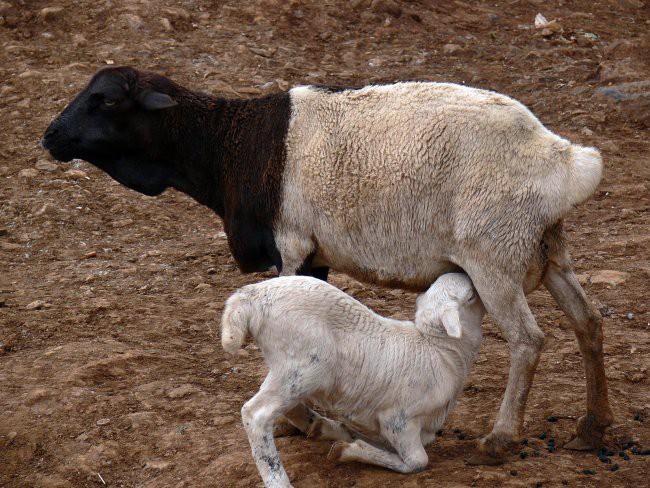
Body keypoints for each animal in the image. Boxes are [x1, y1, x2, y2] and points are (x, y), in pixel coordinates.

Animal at [43, 66, 612, 462]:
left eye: (105, 99)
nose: (49, 137)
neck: (228, 148)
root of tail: (562, 160)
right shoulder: (315, 256)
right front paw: (306, 420)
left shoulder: (291, 244)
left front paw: (298, 421)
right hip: (547, 250)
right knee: (589, 321)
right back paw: (593, 426)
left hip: (493, 255)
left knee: (528, 340)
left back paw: (501, 437)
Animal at [220, 272, 484, 486]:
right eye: (471, 296)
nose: (467, 274)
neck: (440, 351)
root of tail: (251, 295)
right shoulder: (398, 420)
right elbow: (417, 461)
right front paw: (347, 451)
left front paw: (342, 436)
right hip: (305, 365)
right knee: (256, 414)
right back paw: (279, 480)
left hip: (291, 369)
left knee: (288, 407)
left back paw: (320, 426)